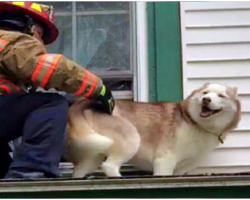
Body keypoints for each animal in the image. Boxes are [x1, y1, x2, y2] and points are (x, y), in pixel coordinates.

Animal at [64, 83, 240, 177]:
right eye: (205, 93)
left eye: (221, 96)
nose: (206, 99)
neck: (195, 123)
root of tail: (84, 103)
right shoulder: (164, 160)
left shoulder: (180, 169)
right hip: (131, 139)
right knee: (109, 166)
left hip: (94, 153)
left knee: (78, 171)